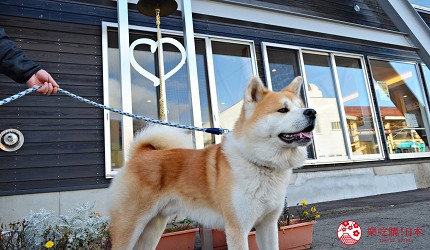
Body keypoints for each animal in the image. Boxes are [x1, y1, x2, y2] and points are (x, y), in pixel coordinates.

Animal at [107, 76, 316, 250]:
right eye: (283, 110)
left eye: (300, 106)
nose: (312, 112)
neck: (259, 162)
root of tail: (139, 153)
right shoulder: (237, 228)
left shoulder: (268, 225)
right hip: (130, 225)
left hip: (155, 226)